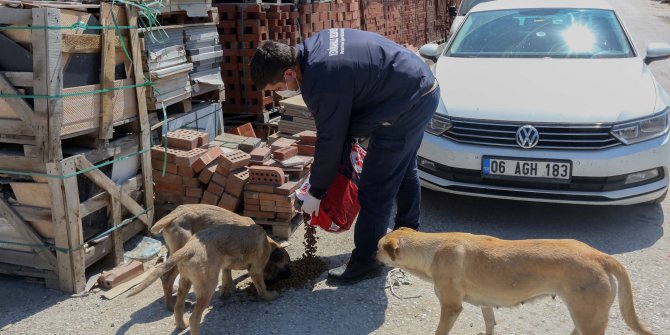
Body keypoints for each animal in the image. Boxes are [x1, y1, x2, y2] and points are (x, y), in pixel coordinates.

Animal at [130, 205, 290, 335]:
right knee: (192, 315)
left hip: (184, 278)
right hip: (206, 286)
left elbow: (227, 278)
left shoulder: (226, 265)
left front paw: (226, 292)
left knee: (177, 303)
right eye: (286, 265)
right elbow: (261, 288)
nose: (289, 275)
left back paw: (180, 321)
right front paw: (269, 295)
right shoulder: (256, 270)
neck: (268, 244)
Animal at [378, 228, 656, 335]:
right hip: (585, 316)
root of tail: (599, 255)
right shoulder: (485, 303)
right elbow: (490, 323)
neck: (434, 249)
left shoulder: (451, 308)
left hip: (589, 318)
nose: (371, 254)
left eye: (378, 247)